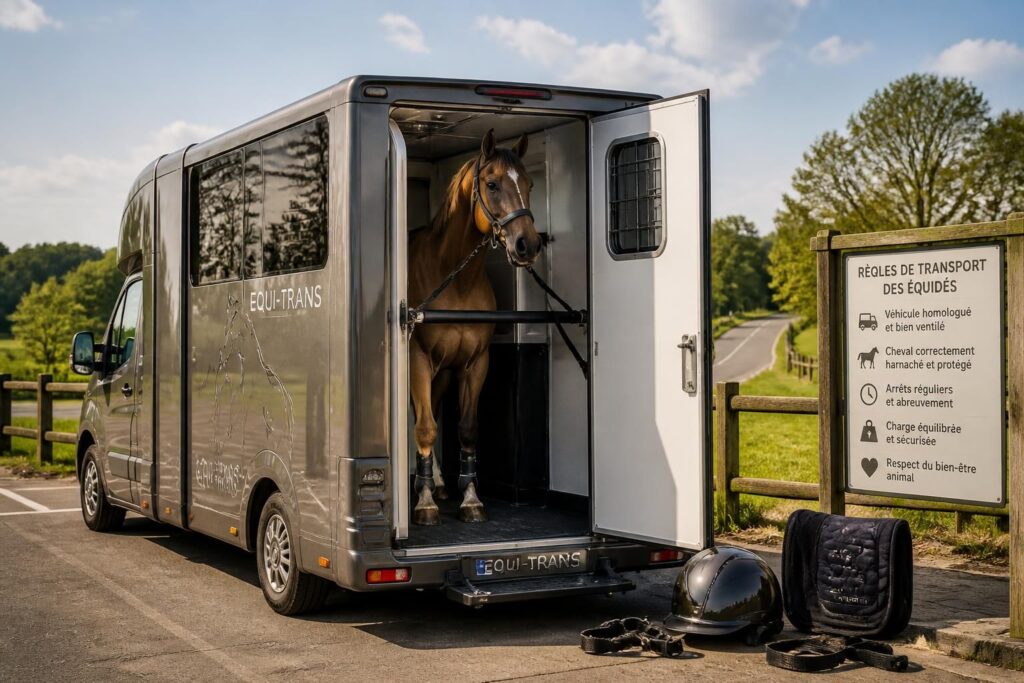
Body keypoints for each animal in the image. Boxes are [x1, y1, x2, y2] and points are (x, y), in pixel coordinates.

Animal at [407, 129, 542, 526]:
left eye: (528, 183)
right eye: (492, 184)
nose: (527, 244)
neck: (456, 281)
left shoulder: (474, 363)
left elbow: (467, 429)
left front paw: (469, 499)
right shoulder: (417, 358)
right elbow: (424, 427)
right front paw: (424, 505)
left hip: (443, 373)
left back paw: (437, 482)